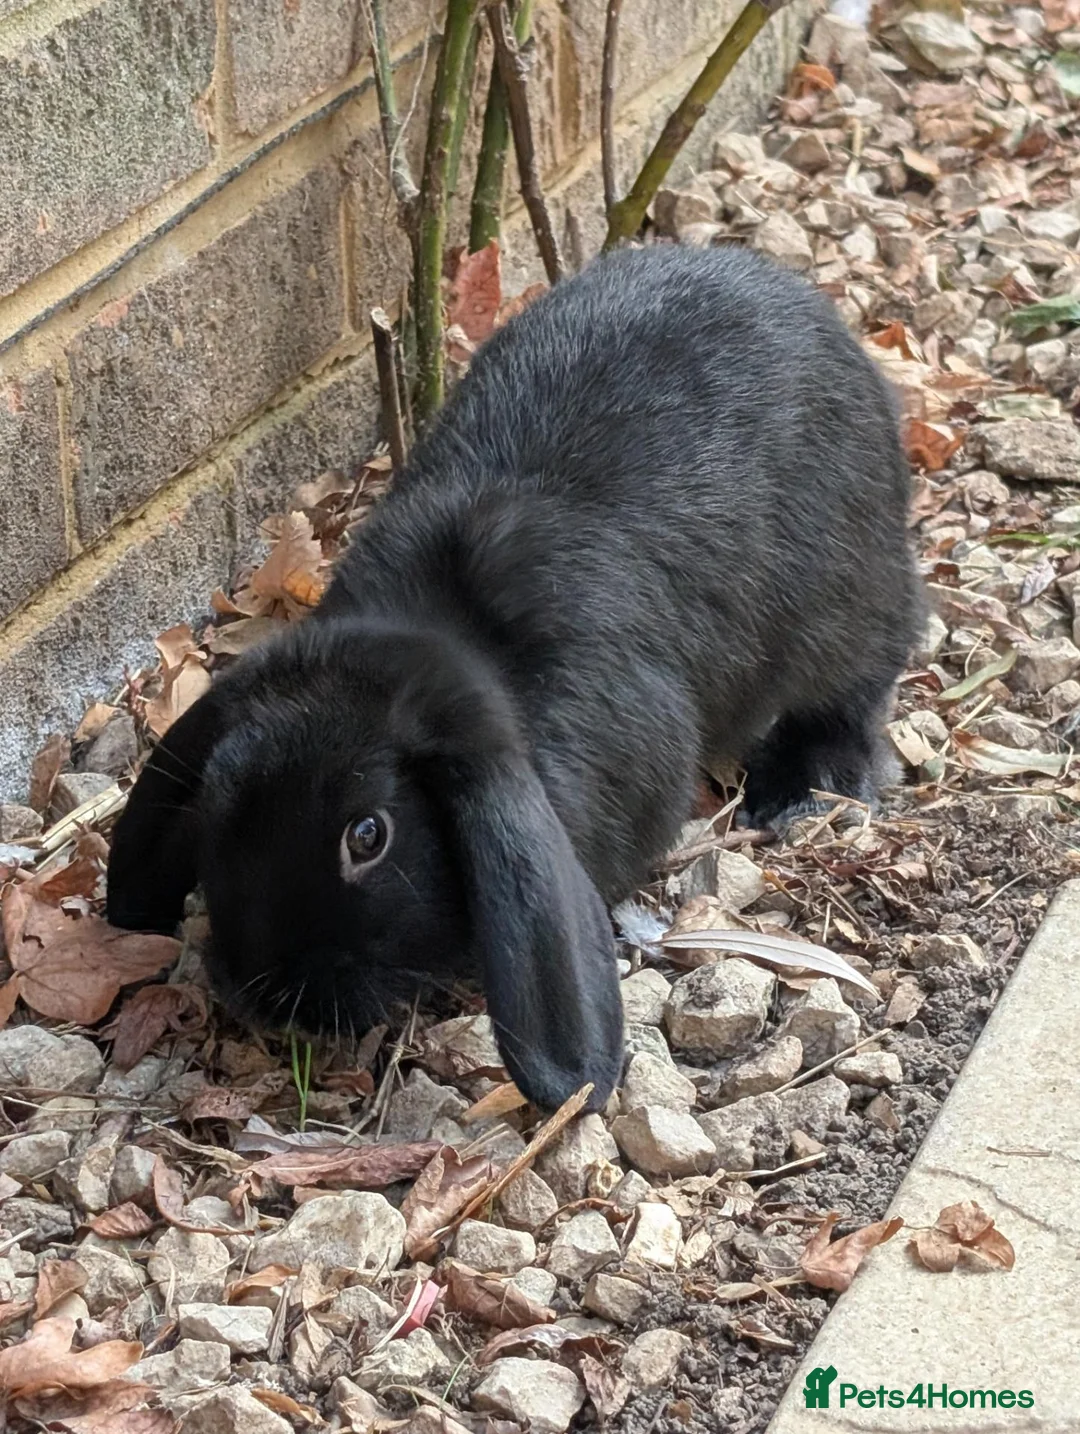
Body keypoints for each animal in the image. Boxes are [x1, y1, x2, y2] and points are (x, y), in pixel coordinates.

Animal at [106, 244, 922, 1112]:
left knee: (860, 682)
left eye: (368, 835)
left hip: (850, 605)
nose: (263, 994)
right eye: (218, 791)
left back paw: (807, 787)